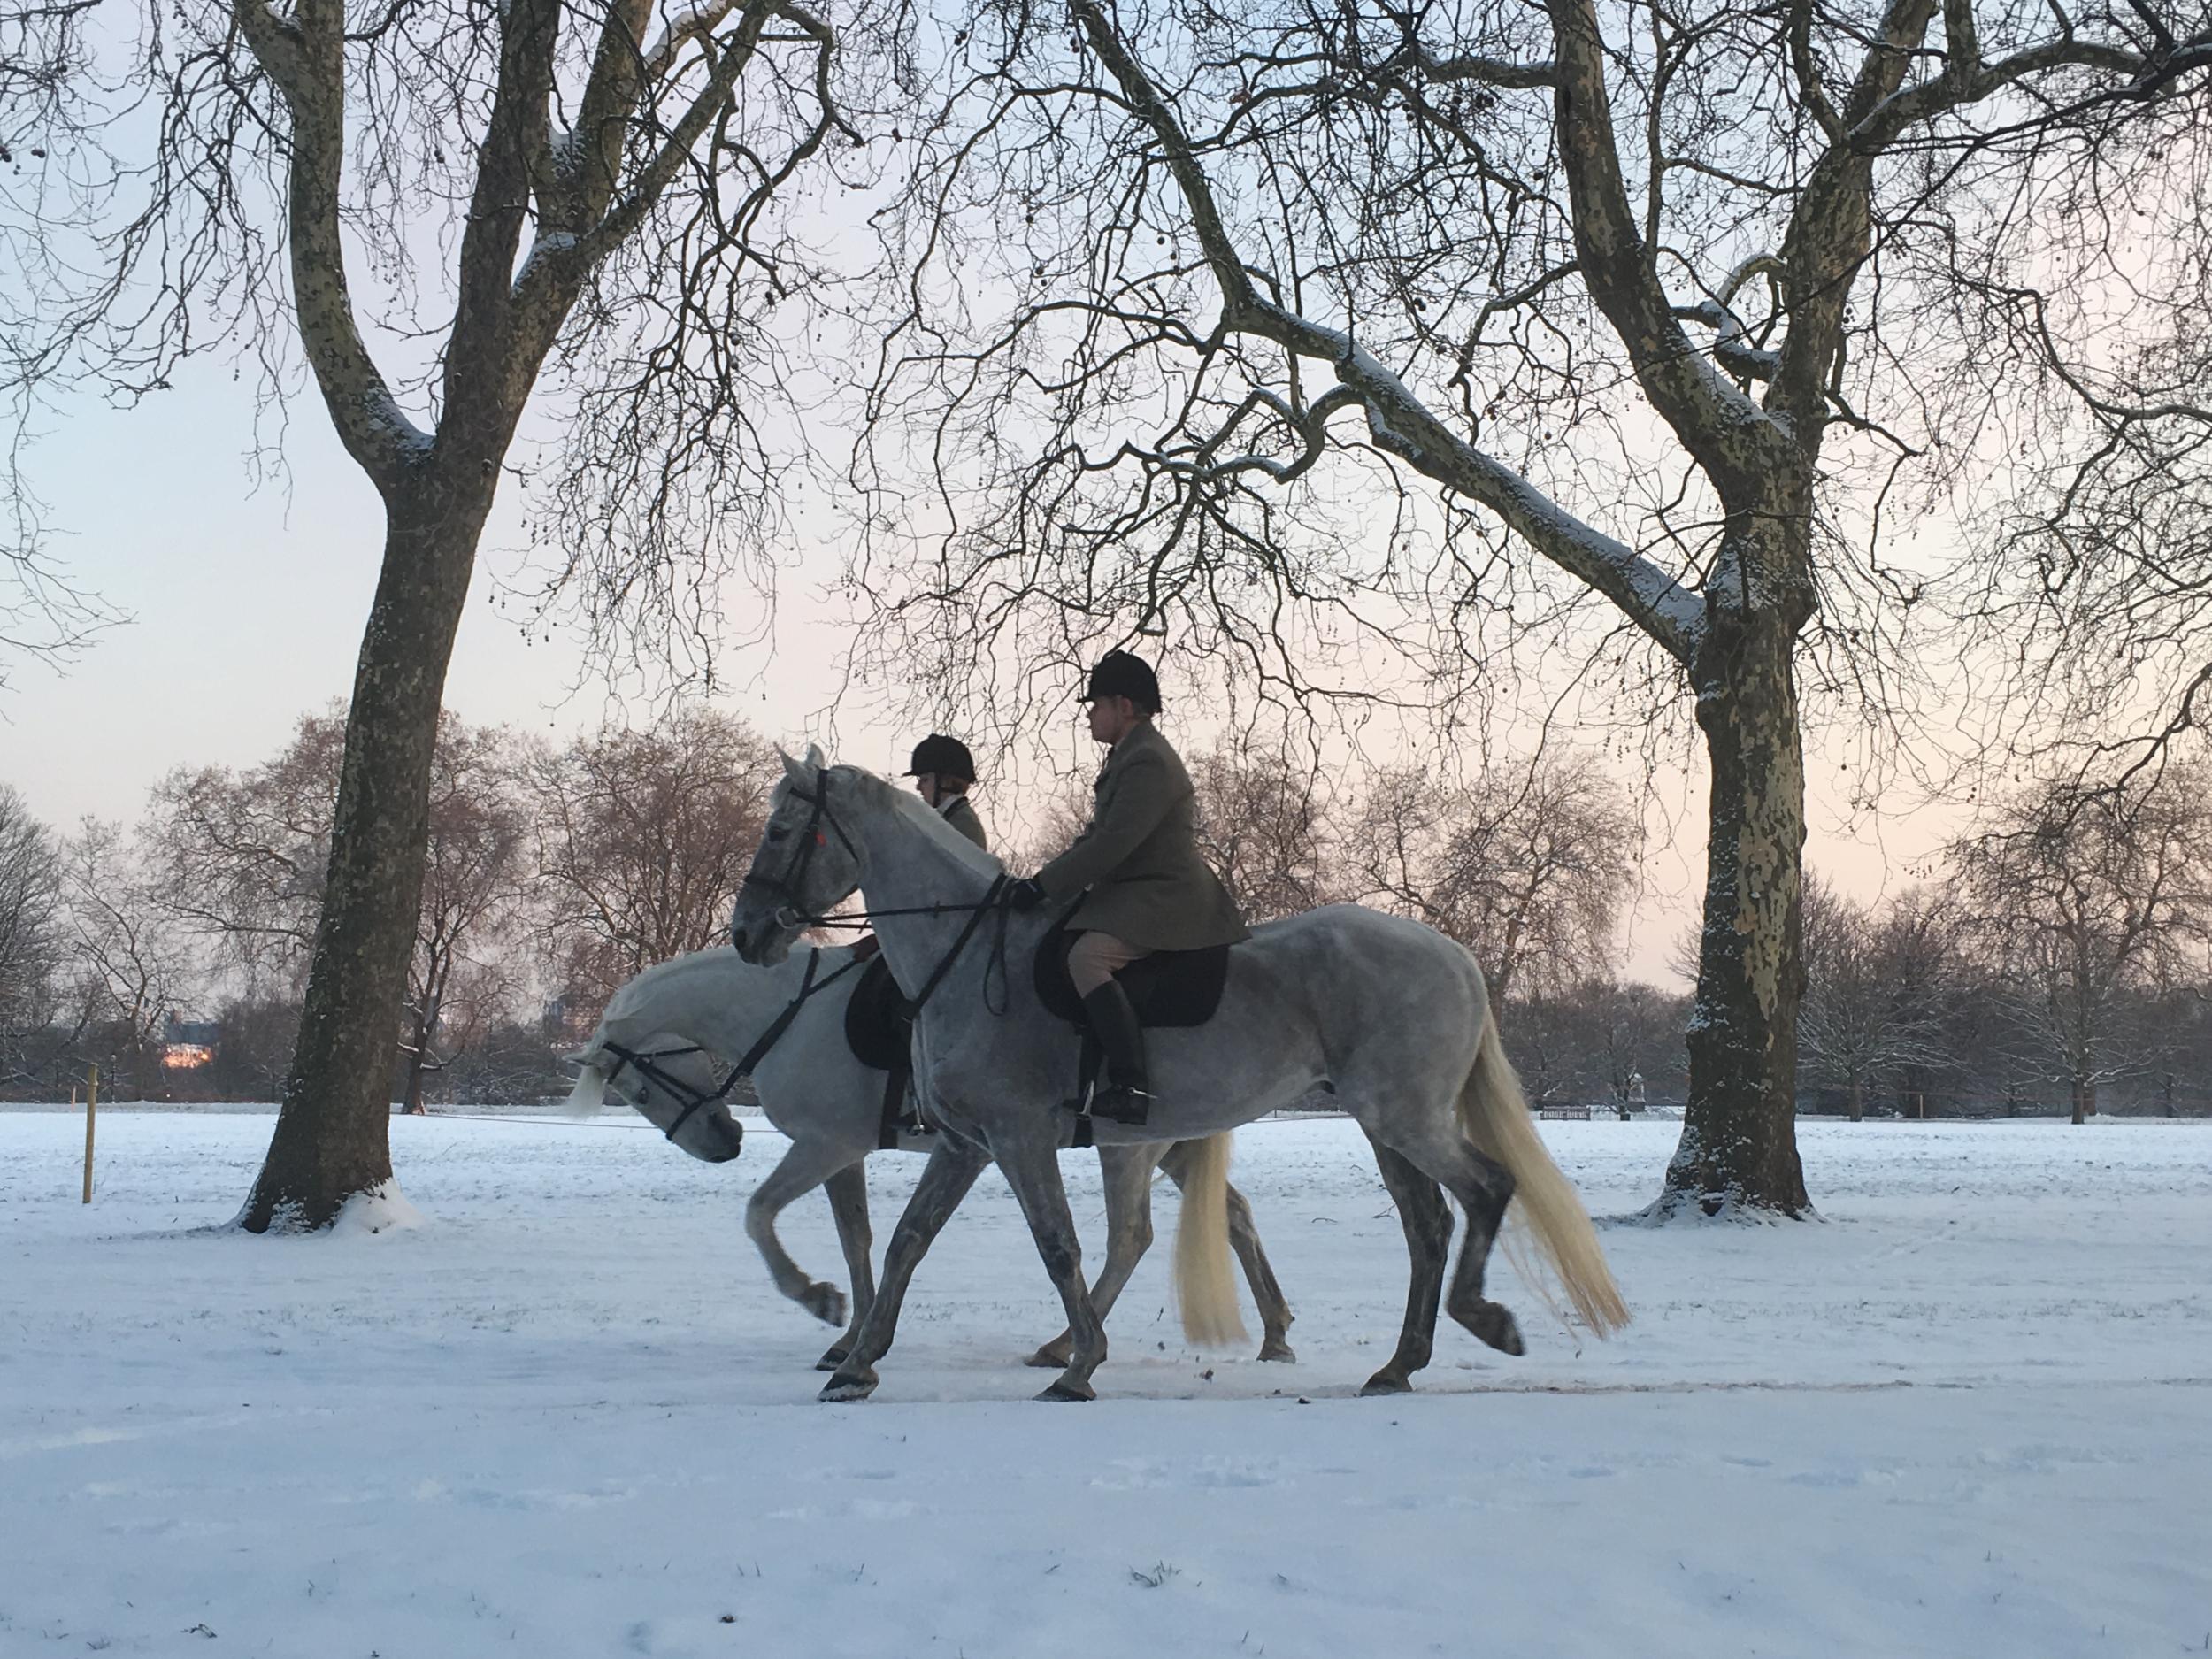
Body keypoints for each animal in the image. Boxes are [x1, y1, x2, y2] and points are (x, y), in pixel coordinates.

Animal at [566, 942, 1292, 1371]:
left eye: (636, 1087)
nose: (725, 1143)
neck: (788, 1014)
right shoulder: (842, 1153)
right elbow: (857, 1238)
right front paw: (851, 1335)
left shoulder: (826, 1144)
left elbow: (760, 1213)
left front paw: (819, 1301)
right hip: (1171, 1147)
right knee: (1234, 1216)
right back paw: (1275, 1331)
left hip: (1128, 1151)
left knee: (1131, 1237)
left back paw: (1070, 1346)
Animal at [726, 752, 1628, 1407]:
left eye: (781, 829)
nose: (746, 935)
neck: (971, 955)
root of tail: (1452, 952)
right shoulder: (965, 1144)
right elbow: (910, 1238)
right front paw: (858, 1362)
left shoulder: (1015, 1137)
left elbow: (1056, 1242)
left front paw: (1079, 1365)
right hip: (1381, 1124)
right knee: (1426, 1223)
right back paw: (1398, 1363)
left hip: (1400, 1116)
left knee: (1483, 1189)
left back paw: (1481, 1321)